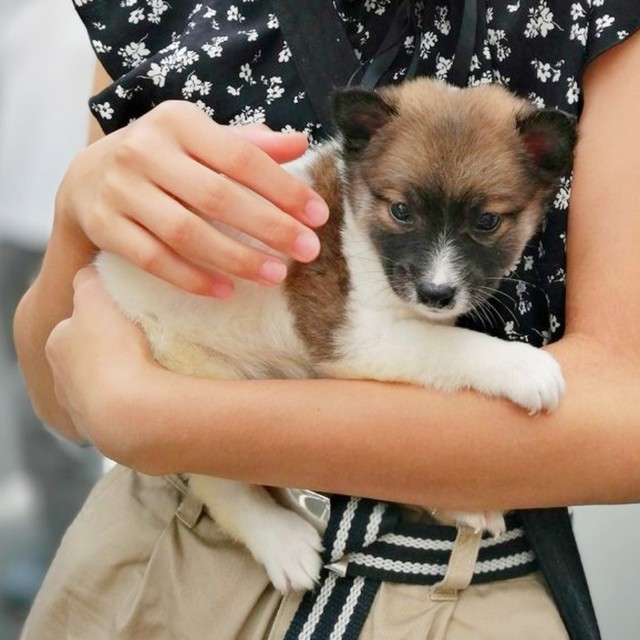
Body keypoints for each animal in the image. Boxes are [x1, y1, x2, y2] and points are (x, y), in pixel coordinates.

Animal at [97, 77, 576, 592]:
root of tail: (107, 272)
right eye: (401, 210)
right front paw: (524, 366)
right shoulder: (354, 337)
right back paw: (280, 541)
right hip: (194, 378)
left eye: (487, 221)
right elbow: (448, 346)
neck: (359, 224)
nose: (435, 294)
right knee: (220, 483)